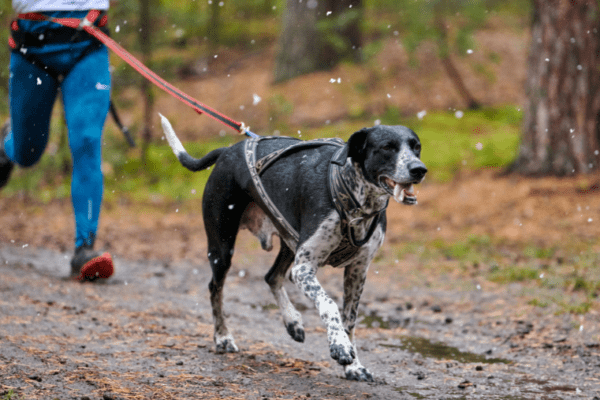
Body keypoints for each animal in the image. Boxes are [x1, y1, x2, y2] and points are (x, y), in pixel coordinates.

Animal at [157, 113, 424, 382]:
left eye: (416, 147)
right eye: (387, 147)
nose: (419, 169)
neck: (354, 199)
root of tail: (227, 151)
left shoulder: (357, 271)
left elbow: (349, 320)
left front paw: (354, 365)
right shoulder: (304, 269)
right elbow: (329, 304)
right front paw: (339, 345)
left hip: (289, 244)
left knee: (272, 276)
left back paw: (292, 321)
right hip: (222, 247)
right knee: (216, 288)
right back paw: (223, 337)